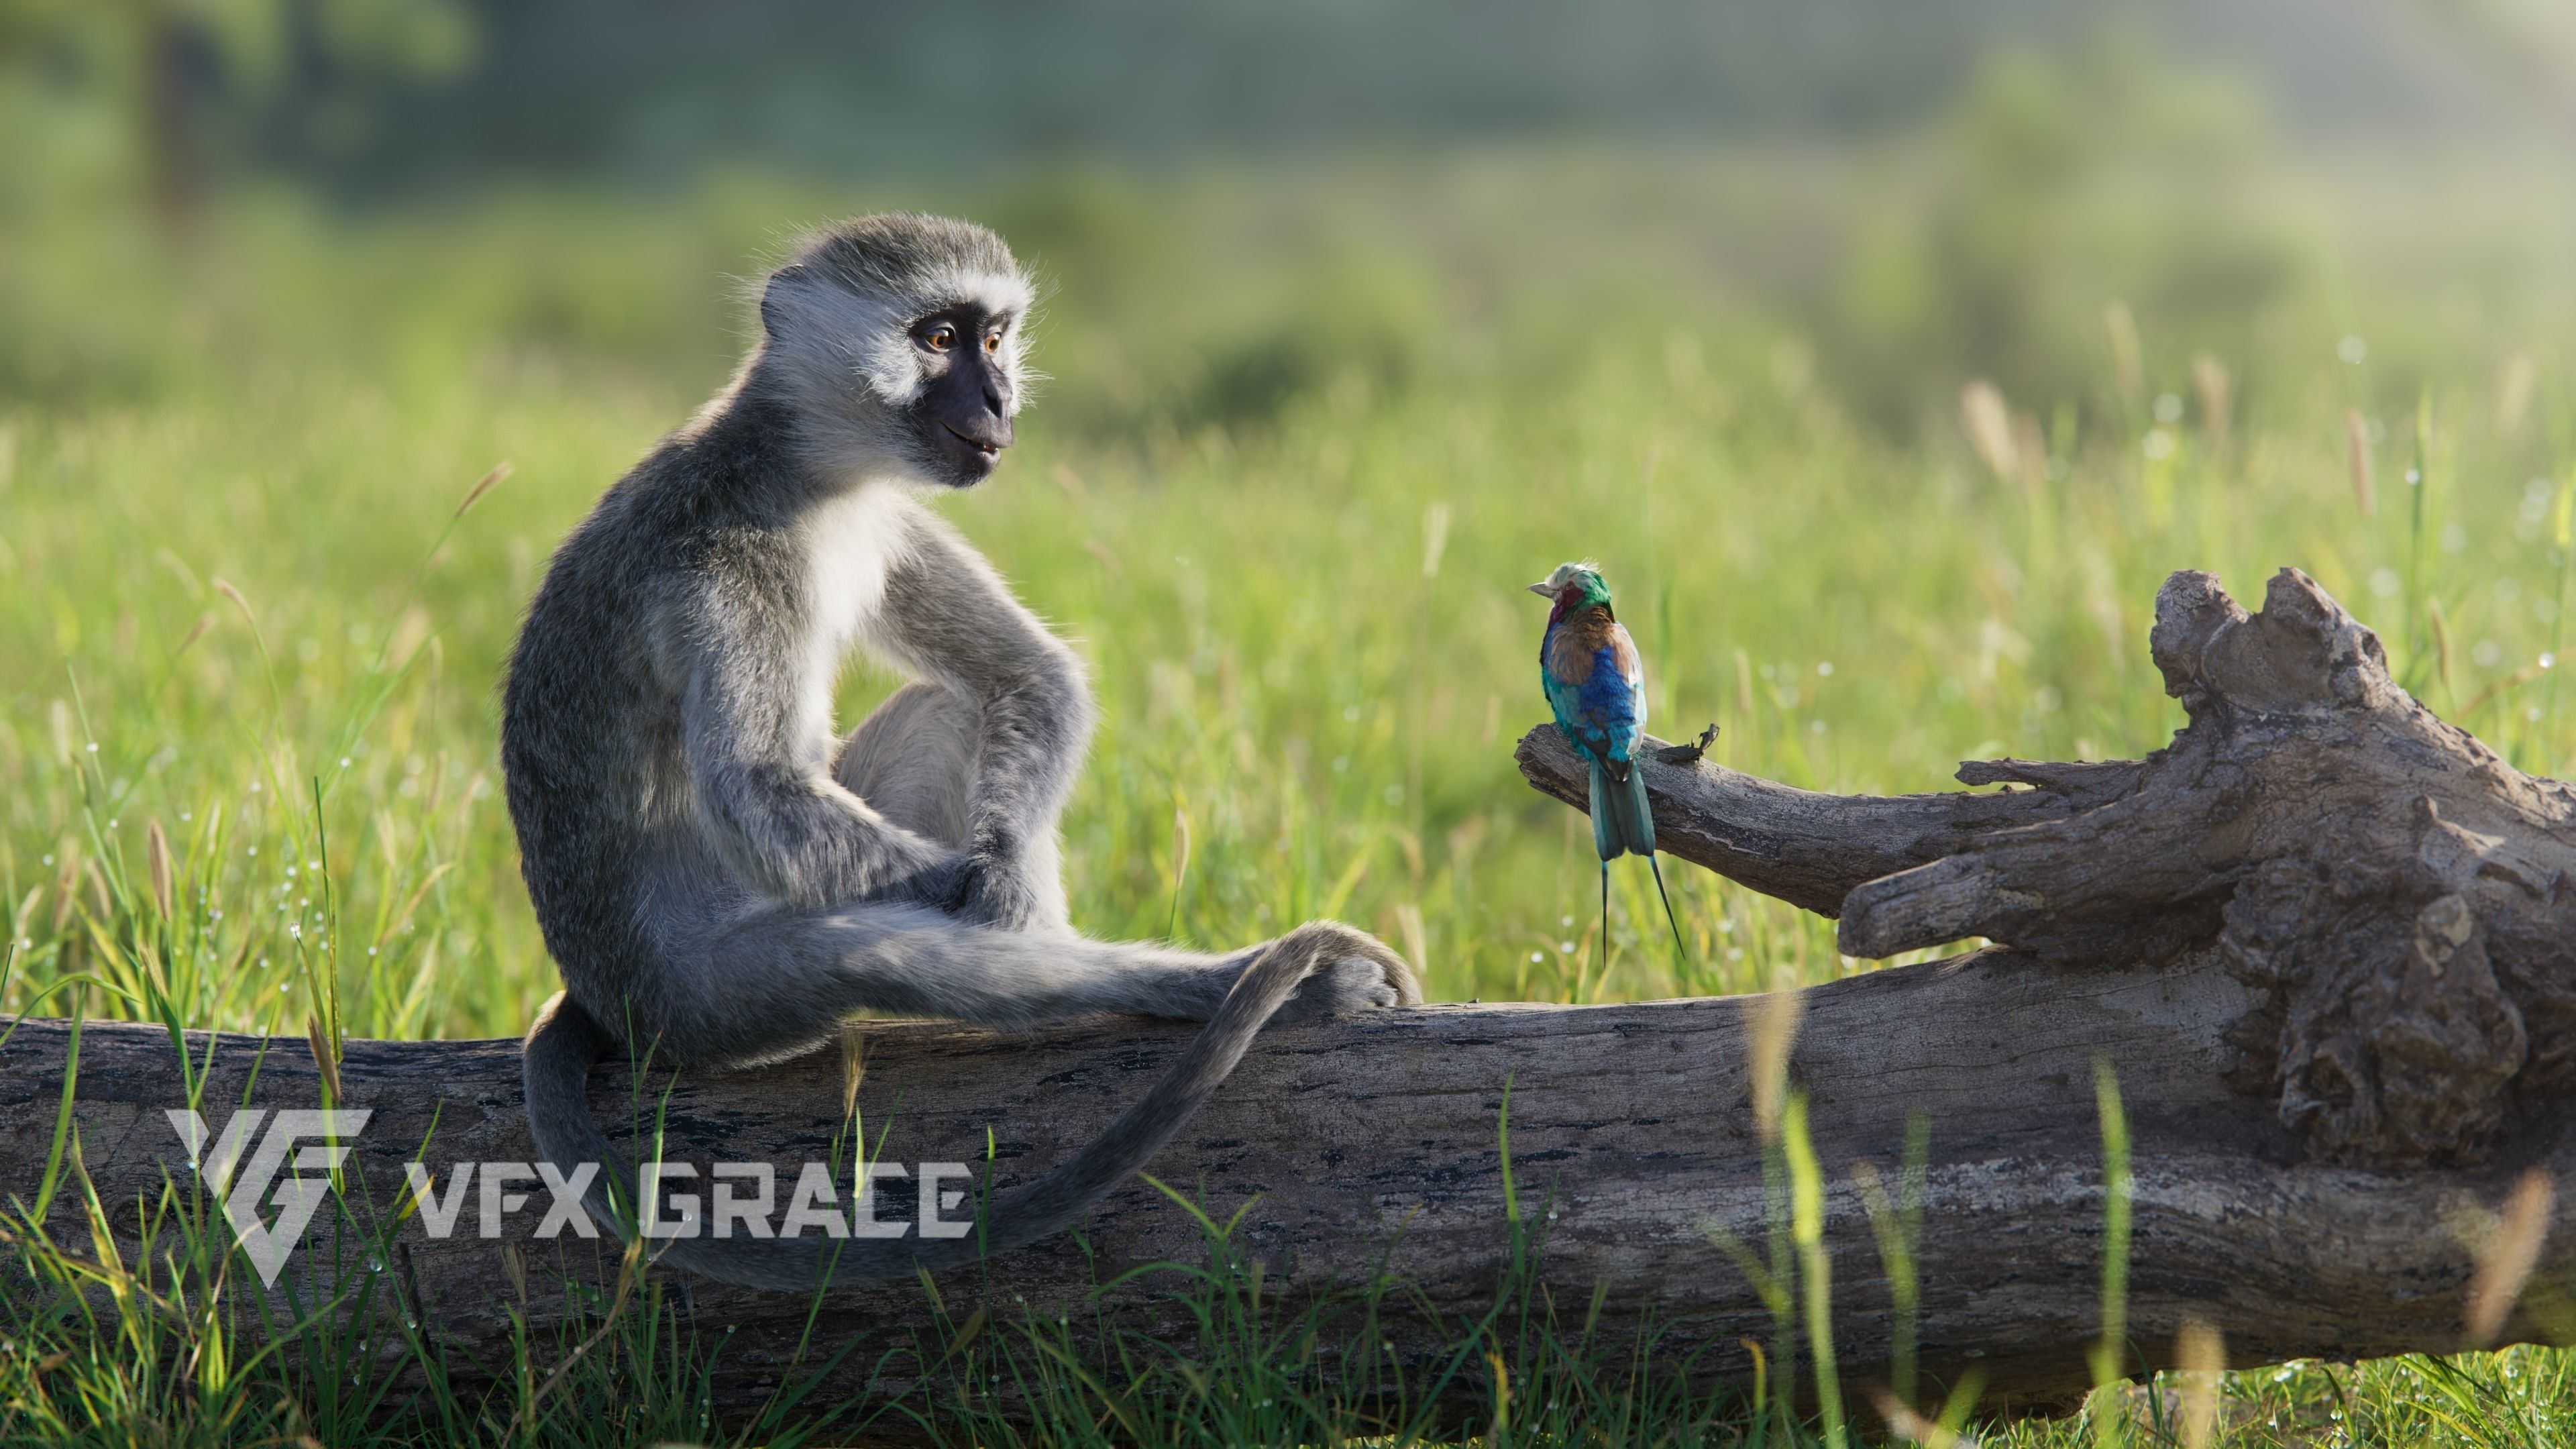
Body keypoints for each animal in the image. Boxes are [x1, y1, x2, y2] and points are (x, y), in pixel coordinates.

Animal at [502, 214, 1418, 1291]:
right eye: (936, 339)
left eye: (994, 338)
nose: (998, 400)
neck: (806, 472)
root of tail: (606, 993)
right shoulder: (730, 563)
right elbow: (760, 790)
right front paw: (1008, 912)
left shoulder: (890, 515)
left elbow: (1031, 678)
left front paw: (1009, 874)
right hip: (709, 997)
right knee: (889, 956)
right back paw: (1262, 989)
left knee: (951, 720)